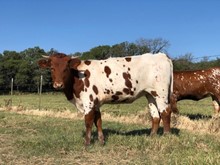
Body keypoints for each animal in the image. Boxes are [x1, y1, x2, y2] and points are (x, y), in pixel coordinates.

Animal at [38, 52, 174, 145]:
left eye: (66, 68)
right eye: (52, 68)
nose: (58, 85)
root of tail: (161, 55)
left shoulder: (88, 101)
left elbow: (88, 122)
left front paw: (87, 143)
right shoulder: (96, 103)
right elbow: (98, 121)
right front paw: (101, 141)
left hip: (160, 93)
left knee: (165, 112)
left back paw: (166, 136)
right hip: (150, 94)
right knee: (155, 115)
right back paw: (152, 137)